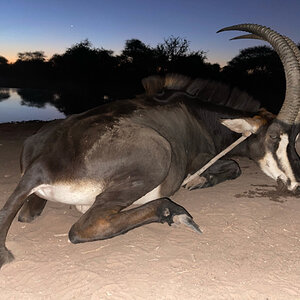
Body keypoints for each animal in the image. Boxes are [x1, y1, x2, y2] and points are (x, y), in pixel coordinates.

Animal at [0, 24, 298, 268]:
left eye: (294, 139)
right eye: (274, 137)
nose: (294, 185)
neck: (200, 114)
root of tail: (40, 165)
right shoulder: (200, 159)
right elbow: (233, 167)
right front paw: (199, 182)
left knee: (31, 212)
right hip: (159, 155)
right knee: (83, 227)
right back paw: (173, 213)